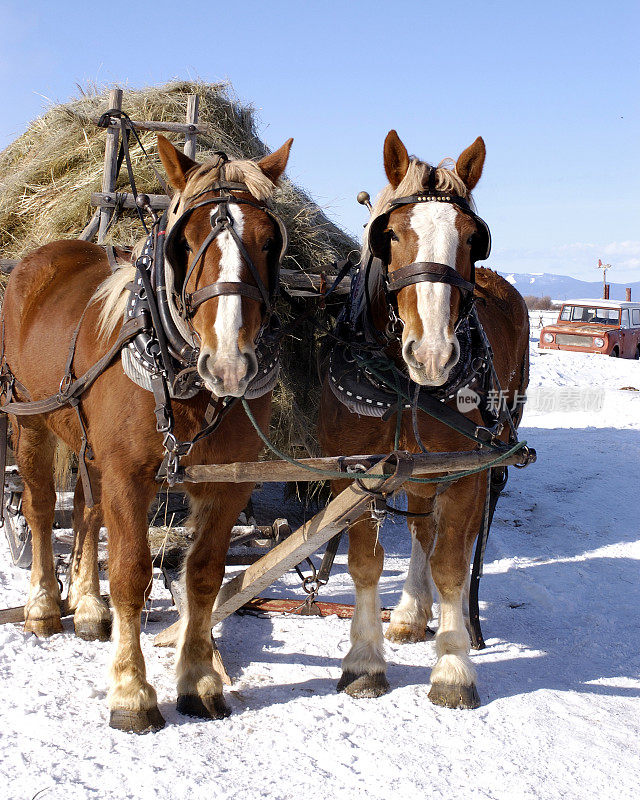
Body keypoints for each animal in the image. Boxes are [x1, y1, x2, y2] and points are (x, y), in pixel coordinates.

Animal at [1, 136, 292, 732]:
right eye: (187, 239)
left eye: (268, 240)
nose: (229, 363)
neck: (186, 379)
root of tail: (39, 258)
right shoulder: (129, 477)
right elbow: (131, 573)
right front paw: (131, 692)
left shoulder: (227, 485)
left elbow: (203, 576)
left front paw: (199, 681)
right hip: (28, 418)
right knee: (41, 508)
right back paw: (43, 606)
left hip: (86, 440)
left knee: (86, 511)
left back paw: (88, 608)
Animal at [318, 133, 528, 712]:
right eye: (389, 234)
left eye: (473, 239)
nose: (432, 354)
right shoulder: (356, 474)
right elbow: (365, 563)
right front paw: (363, 661)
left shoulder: (463, 473)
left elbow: (452, 566)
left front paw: (454, 668)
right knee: (419, 526)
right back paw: (411, 613)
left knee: (444, 536)